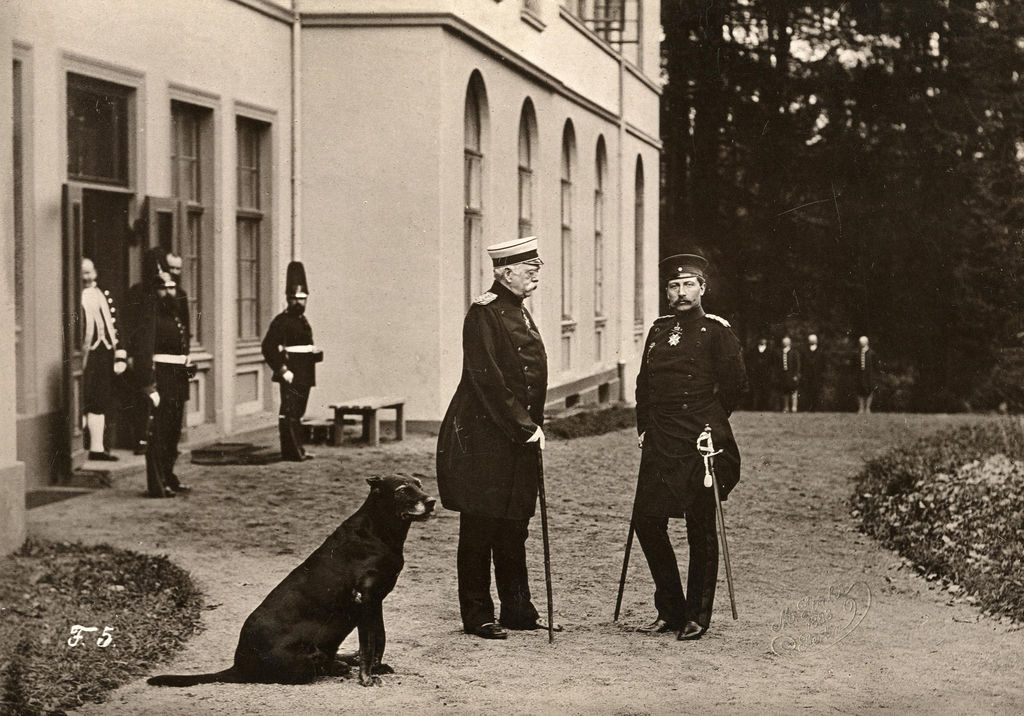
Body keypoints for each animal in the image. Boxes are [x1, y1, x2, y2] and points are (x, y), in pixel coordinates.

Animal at [147, 475, 432, 688]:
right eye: (403, 489)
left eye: (419, 483)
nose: (431, 501)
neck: (379, 531)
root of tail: (239, 665)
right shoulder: (365, 598)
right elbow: (368, 643)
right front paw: (367, 677)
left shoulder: (376, 600)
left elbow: (379, 637)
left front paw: (376, 668)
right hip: (304, 659)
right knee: (315, 669)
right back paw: (341, 663)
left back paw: (344, 659)